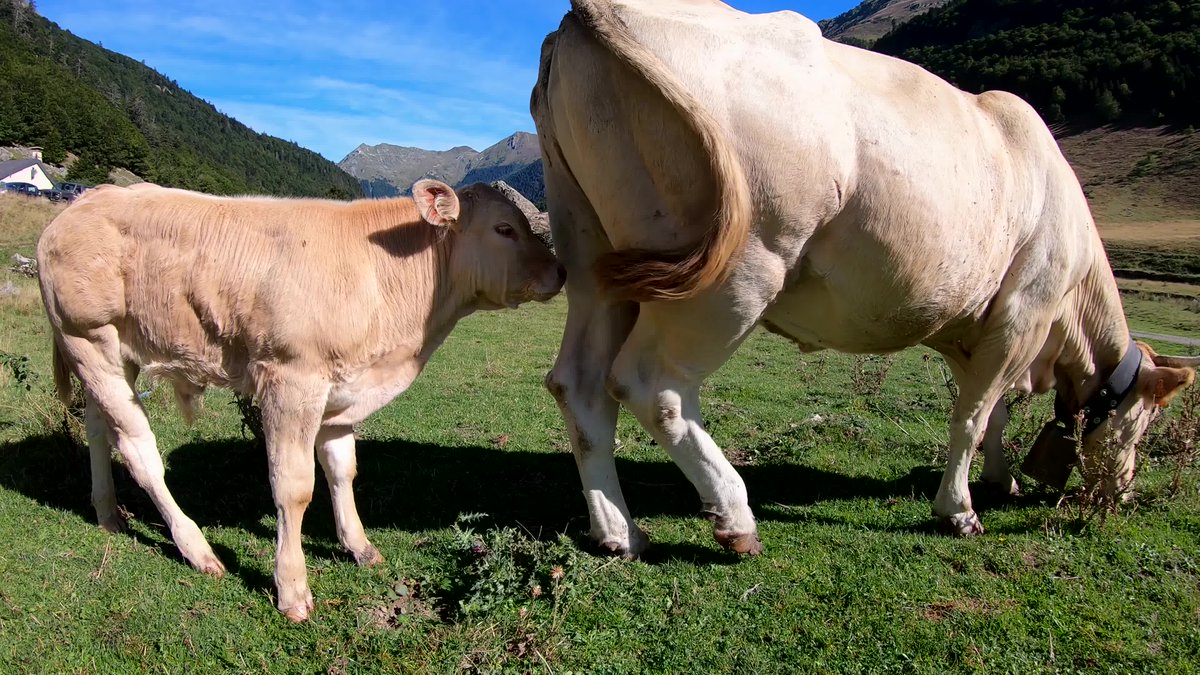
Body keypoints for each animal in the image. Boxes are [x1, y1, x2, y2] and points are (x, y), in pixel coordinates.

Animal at [36, 179, 564, 621]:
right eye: (504, 228)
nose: (561, 271)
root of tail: (85, 200)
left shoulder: (343, 388)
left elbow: (342, 469)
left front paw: (359, 546)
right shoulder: (292, 382)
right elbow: (294, 488)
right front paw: (292, 590)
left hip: (113, 355)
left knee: (98, 426)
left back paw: (108, 514)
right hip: (89, 339)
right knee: (139, 451)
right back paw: (197, 548)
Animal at [531, 0, 1197, 558]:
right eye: (1142, 425)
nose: (1123, 495)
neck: (1066, 330)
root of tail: (591, 12)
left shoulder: (972, 327)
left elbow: (992, 412)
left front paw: (999, 479)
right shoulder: (1024, 310)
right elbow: (974, 415)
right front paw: (959, 511)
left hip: (593, 258)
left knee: (580, 385)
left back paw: (620, 531)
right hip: (736, 269)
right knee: (652, 385)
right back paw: (735, 517)